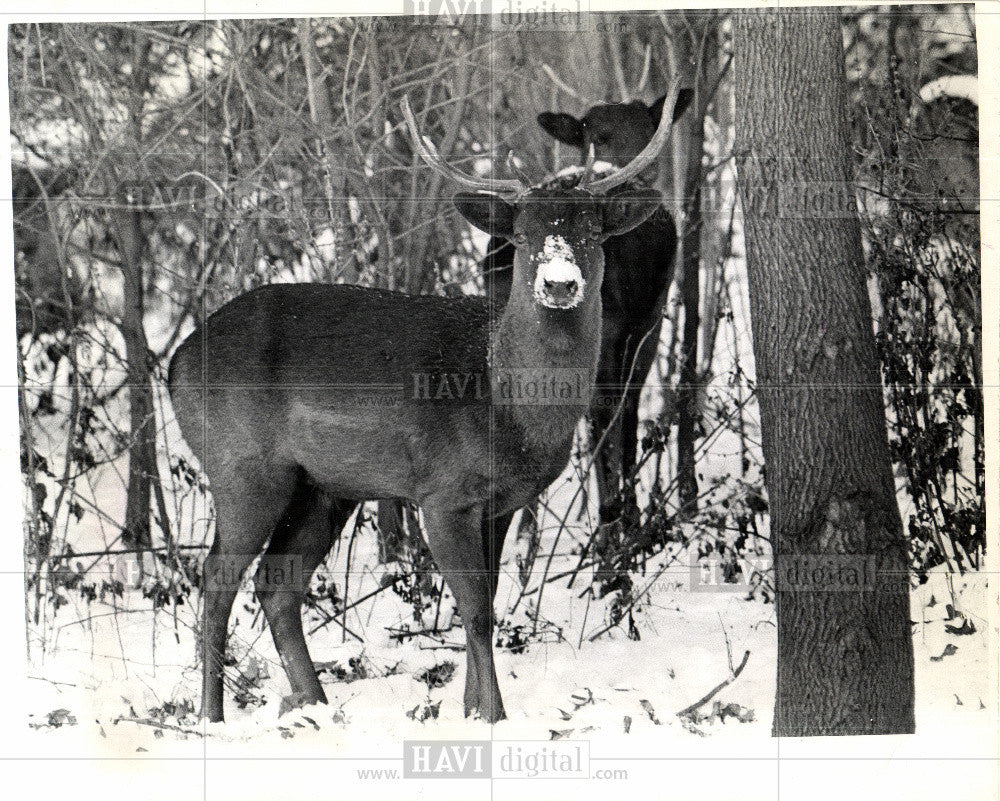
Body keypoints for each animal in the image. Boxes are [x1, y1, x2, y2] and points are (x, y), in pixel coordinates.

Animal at [168, 84, 684, 720]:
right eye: (523, 237)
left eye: (592, 233)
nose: (560, 283)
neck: (504, 403)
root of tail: (175, 363)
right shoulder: (444, 491)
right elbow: (477, 609)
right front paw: (493, 714)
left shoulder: (500, 501)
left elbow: (487, 596)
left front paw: (470, 709)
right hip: (242, 466)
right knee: (217, 577)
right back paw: (212, 715)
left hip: (324, 485)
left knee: (276, 581)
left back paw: (313, 704)